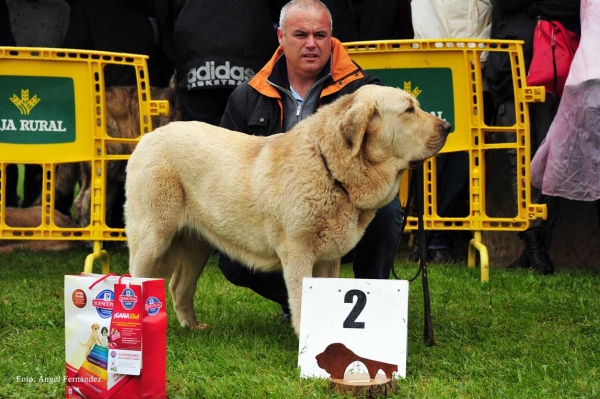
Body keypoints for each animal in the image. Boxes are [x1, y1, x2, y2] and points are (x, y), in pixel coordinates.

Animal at [124, 85, 448, 338]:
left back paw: (193, 327)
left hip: (196, 244)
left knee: (179, 287)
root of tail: (148, 137)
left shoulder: (328, 258)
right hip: (153, 235)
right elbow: (302, 298)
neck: (330, 167)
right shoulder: (298, 251)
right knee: (136, 279)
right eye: (409, 110)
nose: (447, 127)